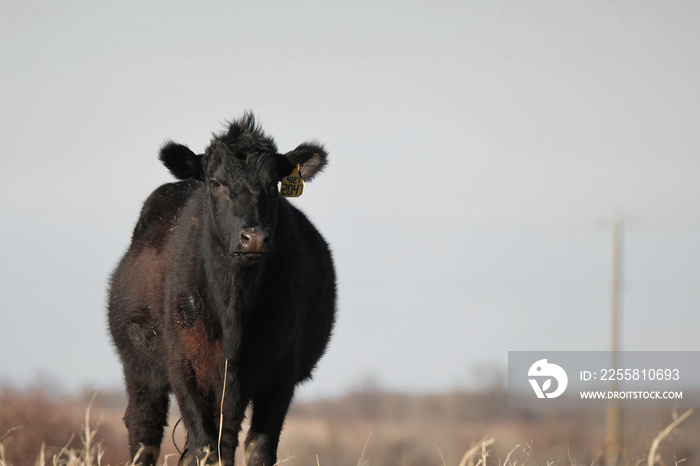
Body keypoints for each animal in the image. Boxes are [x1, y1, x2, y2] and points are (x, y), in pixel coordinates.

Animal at [108, 114, 336, 466]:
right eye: (216, 183)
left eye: (273, 183)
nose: (254, 237)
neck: (233, 306)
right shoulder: (185, 369)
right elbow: (203, 447)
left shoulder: (281, 374)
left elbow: (259, 449)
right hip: (141, 370)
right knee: (143, 431)